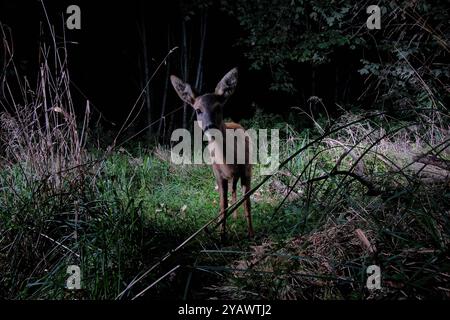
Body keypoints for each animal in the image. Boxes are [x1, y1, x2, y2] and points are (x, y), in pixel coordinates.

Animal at [170, 67, 253, 239]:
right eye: (198, 110)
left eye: (218, 108)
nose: (210, 127)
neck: (229, 162)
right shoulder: (218, 175)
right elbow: (223, 206)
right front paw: (222, 235)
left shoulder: (247, 171)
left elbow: (247, 202)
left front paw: (251, 233)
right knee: (232, 193)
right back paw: (234, 218)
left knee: (238, 194)